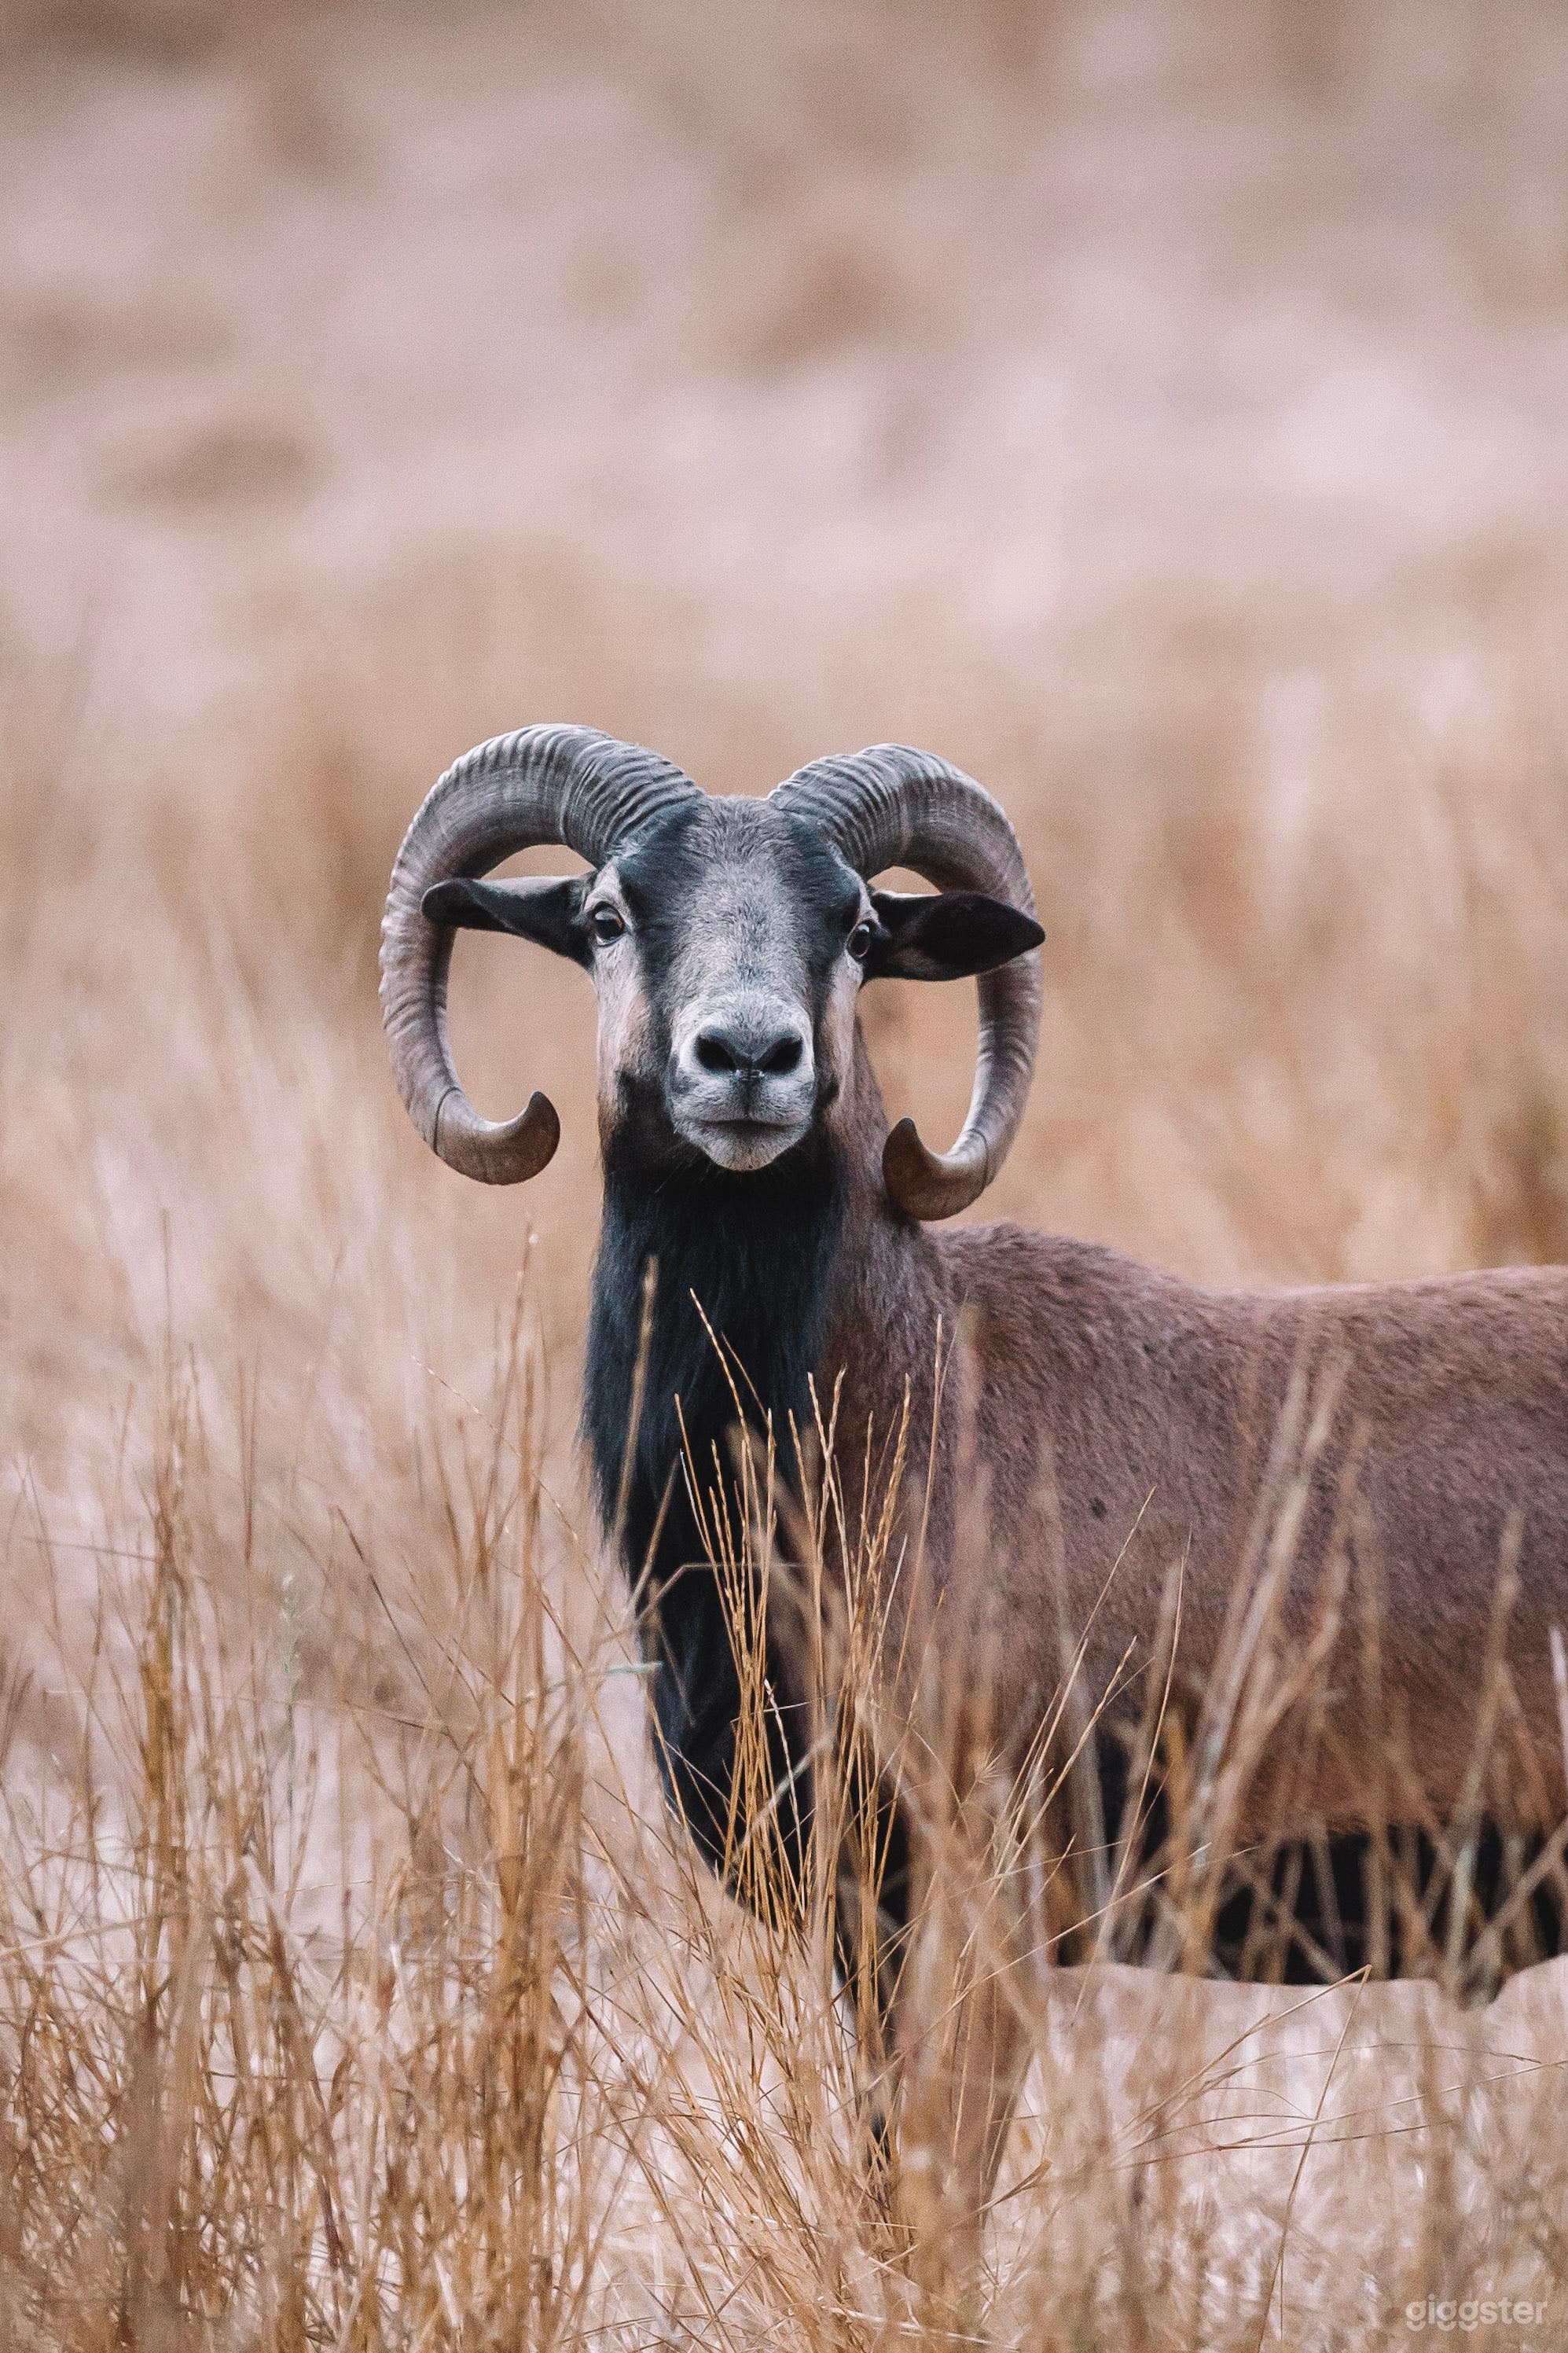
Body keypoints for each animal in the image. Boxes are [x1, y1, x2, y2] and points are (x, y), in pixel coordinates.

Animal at [381, 723, 1568, 2263]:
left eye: (855, 923)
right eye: (605, 914)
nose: (749, 1057)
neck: (900, 1422)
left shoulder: (986, 1915)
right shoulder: (866, 1932)